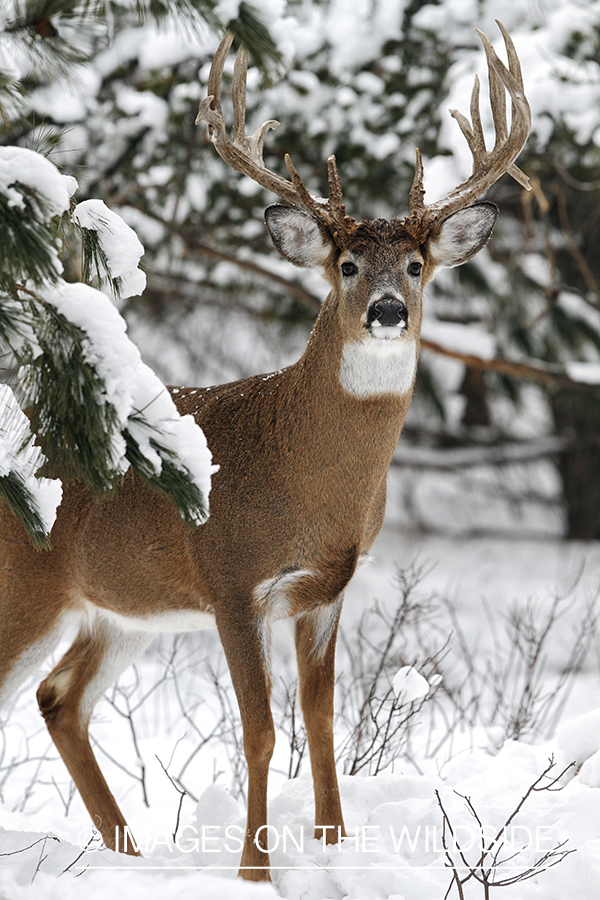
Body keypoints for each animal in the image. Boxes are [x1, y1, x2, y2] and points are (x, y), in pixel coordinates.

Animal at [0, 19, 528, 880]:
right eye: (346, 264)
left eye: (418, 266)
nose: (387, 311)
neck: (312, 482)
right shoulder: (231, 578)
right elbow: (259, 731)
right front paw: (256, 871)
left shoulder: (325, 589)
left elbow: (322, 725)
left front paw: (335, 849)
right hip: (27, 582)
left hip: (120, 608)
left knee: (60, 698)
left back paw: (130, 854)